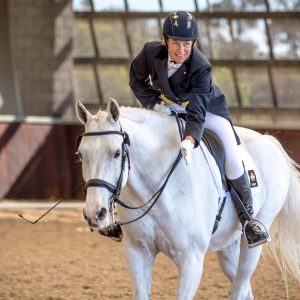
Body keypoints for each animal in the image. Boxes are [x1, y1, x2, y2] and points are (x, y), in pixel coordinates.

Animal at [75, 99, 300, 298]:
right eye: (81, 155)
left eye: (116, 153)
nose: (94, 214)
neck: (154, 186)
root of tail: (268, 140)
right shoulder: (138, 253)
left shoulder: (191, 260)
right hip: (228, 245)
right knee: (244, 290)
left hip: (255, 238)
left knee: (239, 287)